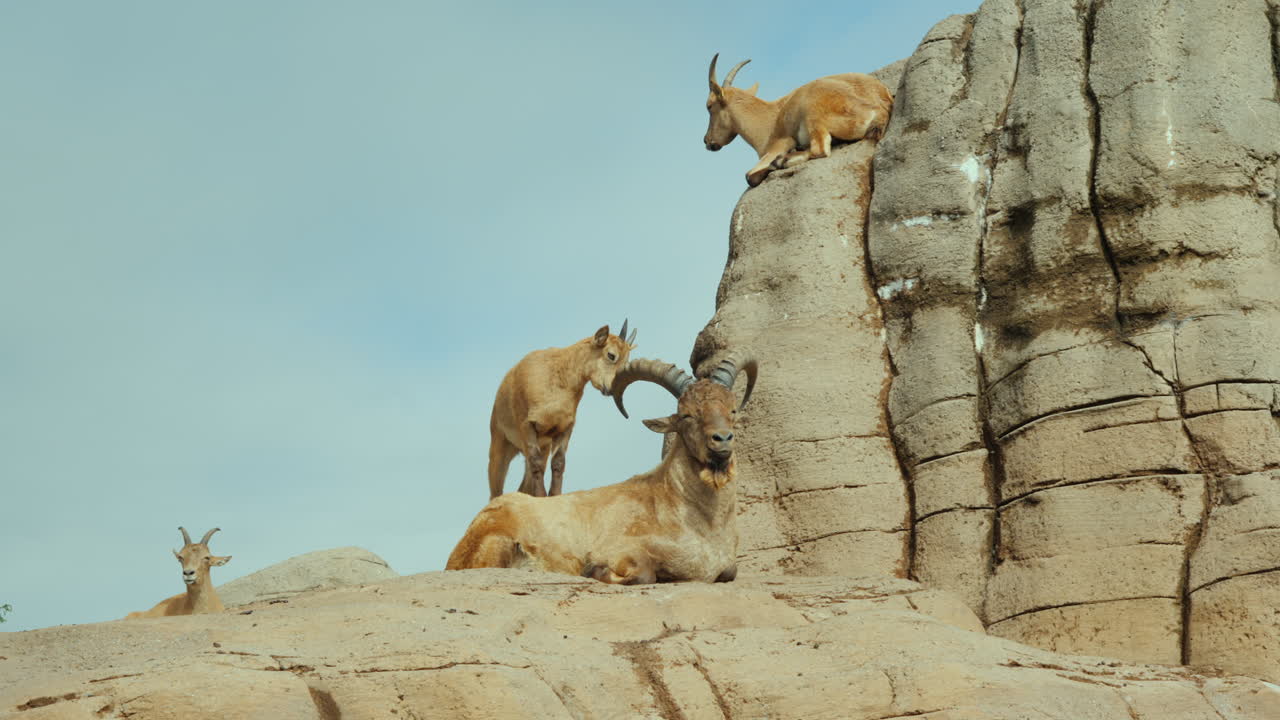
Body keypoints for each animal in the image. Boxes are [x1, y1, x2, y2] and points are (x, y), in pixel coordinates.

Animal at [449, 351, 757, 585]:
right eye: (686, 415)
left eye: (732, 409)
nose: (722, 440)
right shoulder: (620, 548)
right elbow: (644, 573)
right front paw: (593, 569)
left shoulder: (725, 567)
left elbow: (730, 572)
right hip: (496, 544)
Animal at [489, 320, 638, 499]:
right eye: (611, 355)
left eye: (626, 360)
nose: (612, 389)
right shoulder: (527, 425)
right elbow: (536, 464)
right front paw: (542, 496)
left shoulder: (564, 428)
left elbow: (559, 463)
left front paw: (555, 495)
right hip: (500, 446)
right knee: (495, 492)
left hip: (541, 446)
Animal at [703, 54, 893, 187]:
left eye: (709, 106)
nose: (707, 141)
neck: (769, 119)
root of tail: (881, 106)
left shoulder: (780, 144)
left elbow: (749, 175)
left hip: (813, 115)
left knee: (820, 150)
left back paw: (784, 160)